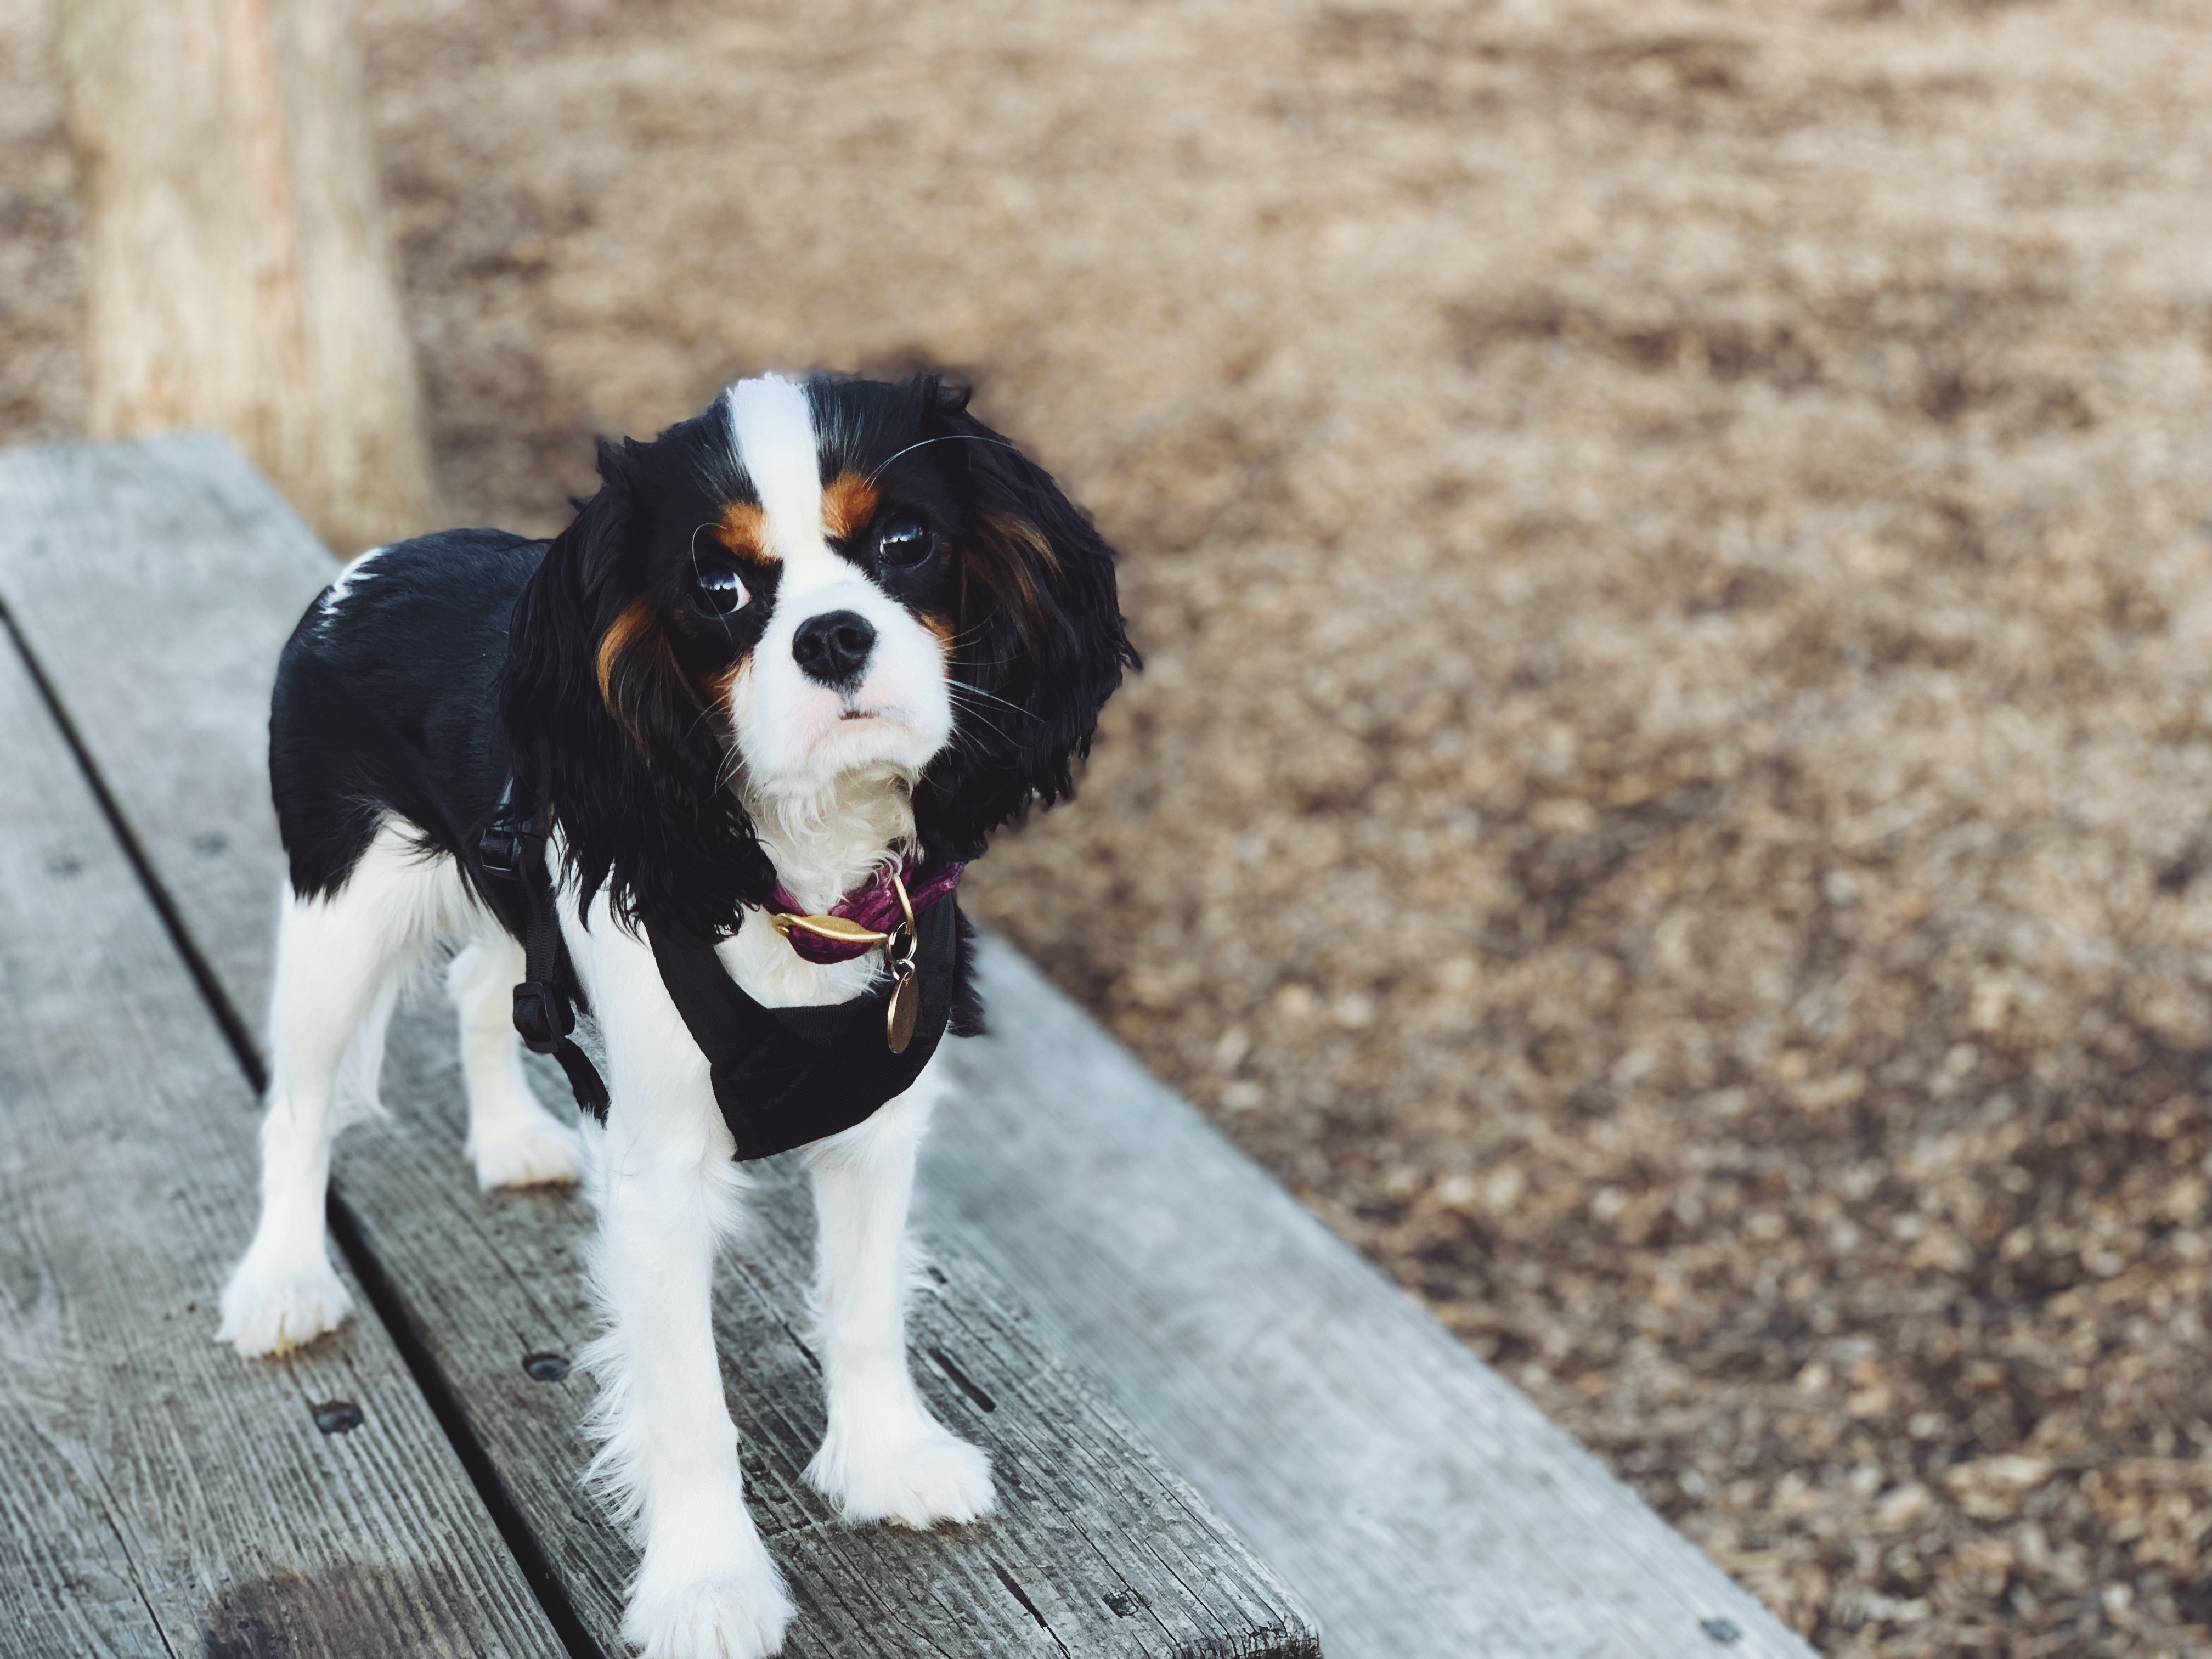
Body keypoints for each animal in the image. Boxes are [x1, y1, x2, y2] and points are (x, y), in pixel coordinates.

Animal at [220, 369, 1141, 1654]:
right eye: (720, 588)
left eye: (905, 543)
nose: (832, 635)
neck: (804, 885)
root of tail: (376, 560)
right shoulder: (659, 1168)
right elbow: (691, 1404)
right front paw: (708, 1584)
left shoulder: (878, 1127)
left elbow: (864, 1306)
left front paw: (886, 1459)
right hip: (338, 913)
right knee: (298, 1107)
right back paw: (284, 1280)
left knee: (483, 989)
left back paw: (508, 1140)